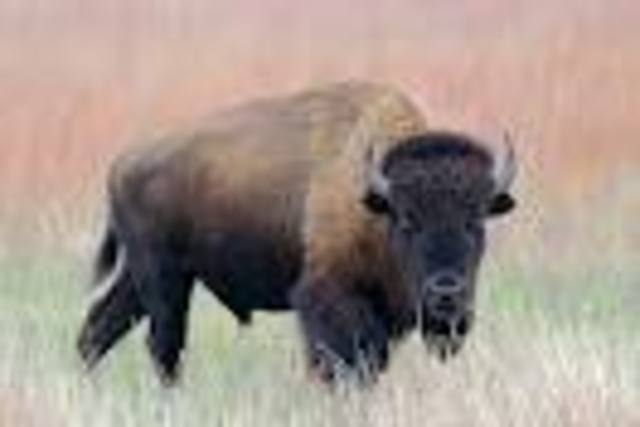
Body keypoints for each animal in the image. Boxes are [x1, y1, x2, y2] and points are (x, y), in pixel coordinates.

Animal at [77, 81, 517, 385]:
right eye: (408, 220)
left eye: (476, 221)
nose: (446, 292)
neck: (373, 202)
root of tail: (123, 162)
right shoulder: (327, 298)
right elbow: (339, 362)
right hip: (163, 277)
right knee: (163, 345)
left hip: (146, 278)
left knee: (97, 329)